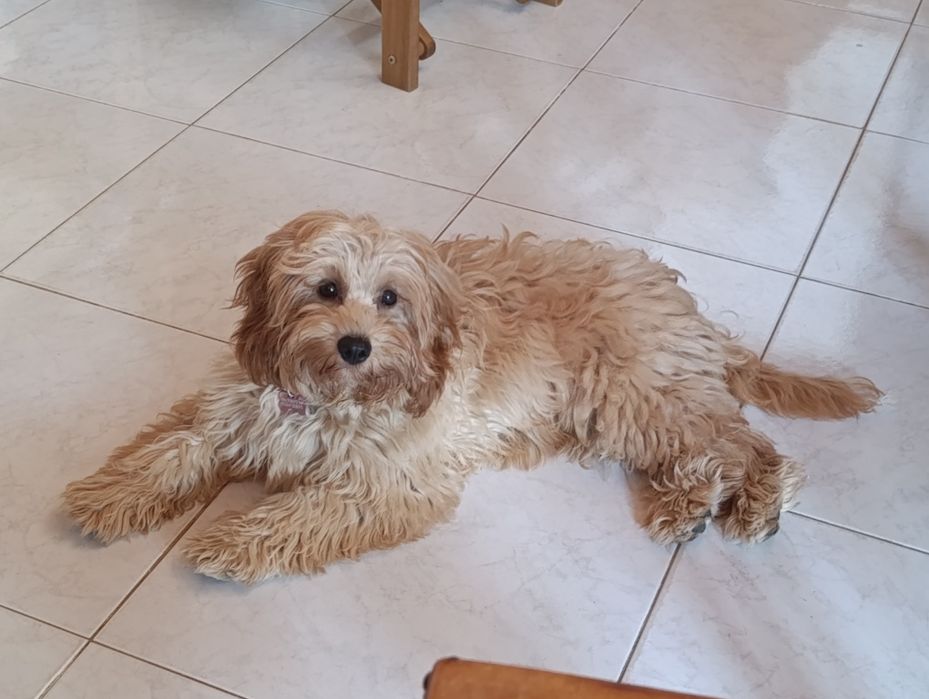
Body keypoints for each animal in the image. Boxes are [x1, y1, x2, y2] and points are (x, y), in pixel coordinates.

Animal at [63, 211, 881, 583]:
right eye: (325, 289)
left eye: (389, 299)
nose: (354, 345)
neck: (331, 395)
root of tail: (687, 310)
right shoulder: (230, 409)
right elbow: (170, 449)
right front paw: (106, 496)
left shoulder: (387, 483)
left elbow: (298, 513)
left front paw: (229, 543)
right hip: (634, 406)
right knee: (724, 442)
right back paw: (703, 504)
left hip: (634, 395)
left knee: (742, 444)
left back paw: (743, 504)